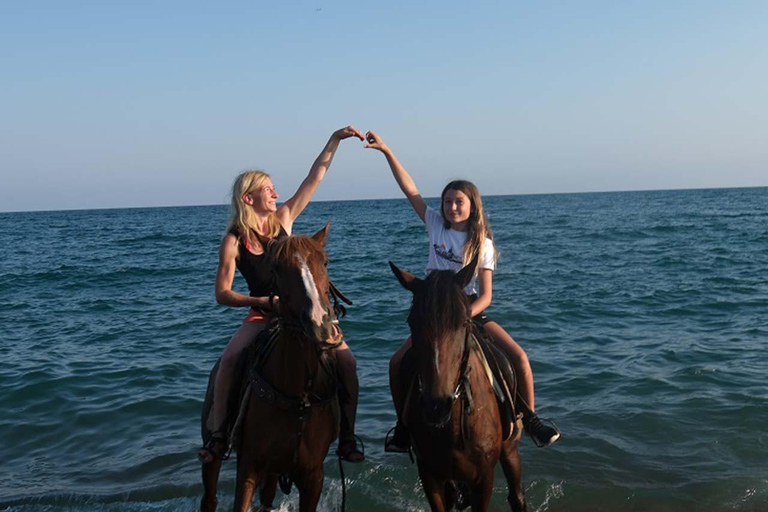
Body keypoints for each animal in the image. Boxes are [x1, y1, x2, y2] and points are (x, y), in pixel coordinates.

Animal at [389, 257, 527, 512]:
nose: (436, 405)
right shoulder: (430, 475)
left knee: (516, 496)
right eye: (412, 322)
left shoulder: (483, 478)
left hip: (510, 446)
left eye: (464, 322)